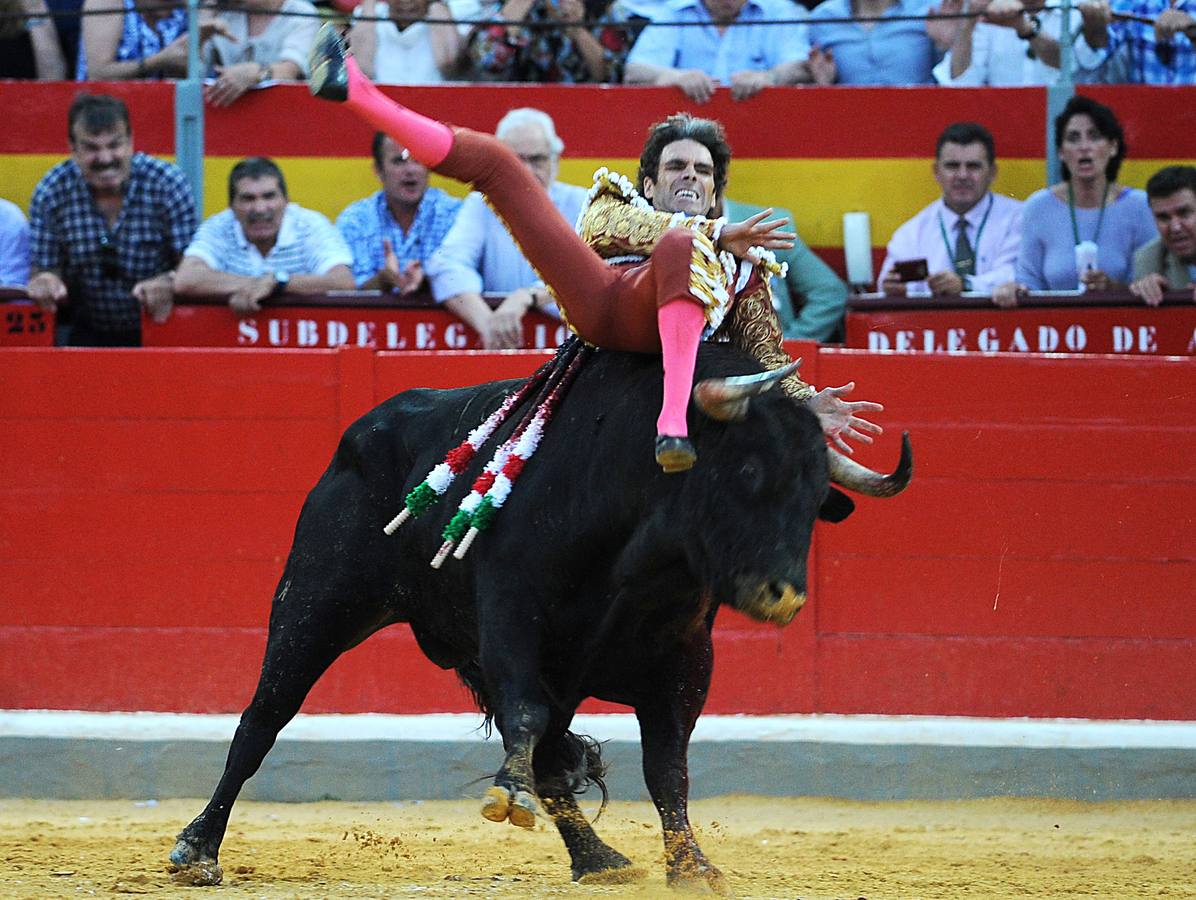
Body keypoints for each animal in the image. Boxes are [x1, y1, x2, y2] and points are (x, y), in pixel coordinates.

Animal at [173, 339, 908, 889]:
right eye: (749, 471)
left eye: (815, 496)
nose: (785, 596)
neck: (641, 556)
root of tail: (359, 434)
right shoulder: (511, 622)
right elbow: (530, 721)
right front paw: (511, 795)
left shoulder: (684, 662)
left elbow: (666, 766)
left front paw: (692, 867)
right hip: (313, 607)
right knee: (262, 719)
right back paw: (198, 848)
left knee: (554, 752)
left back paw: (599, 860)